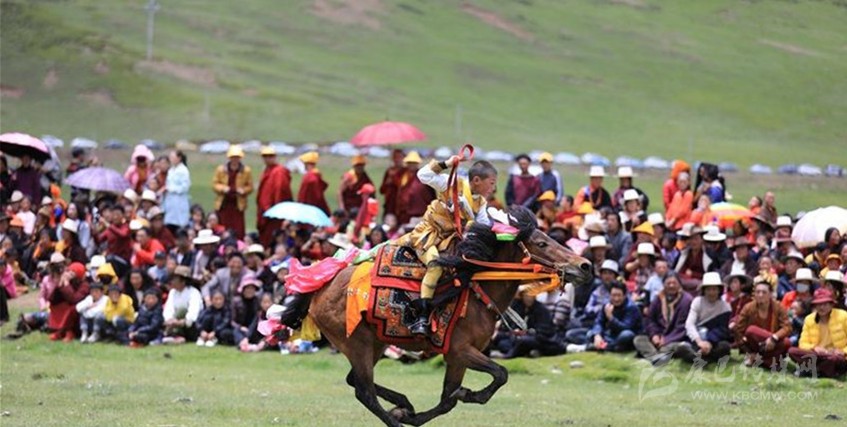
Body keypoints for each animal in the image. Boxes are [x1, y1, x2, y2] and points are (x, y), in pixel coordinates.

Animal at [308, 206, 592, 424]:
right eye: (542, 243)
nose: (585, 265)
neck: (475, 289)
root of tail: (322, 287)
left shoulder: (459, 358)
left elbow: (448, 400)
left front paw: (412, 414)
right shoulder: (460, 350)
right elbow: (500, 373)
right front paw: (468, 395)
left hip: (375, 343)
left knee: (354, 381)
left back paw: (403, 404)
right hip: (359, 343)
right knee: (364, 391)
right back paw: (396, 417)